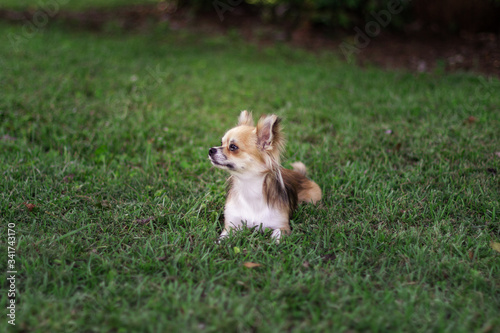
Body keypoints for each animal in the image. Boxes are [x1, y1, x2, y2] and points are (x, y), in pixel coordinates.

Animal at [207, 111, 320, 241]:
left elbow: (277, 235)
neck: (248, 186)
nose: (211, 150)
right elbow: (223, 238)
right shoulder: (231, 225)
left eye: (233, 147)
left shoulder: (283, 226)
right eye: (221, 143)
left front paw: (273, 241)